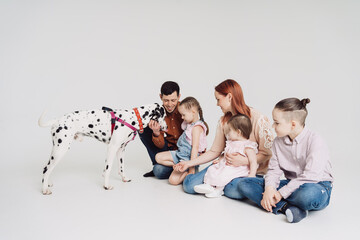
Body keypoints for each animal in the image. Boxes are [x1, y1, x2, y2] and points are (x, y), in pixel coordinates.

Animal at [37, 103, 167, 195]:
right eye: (165, 116)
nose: (166, 127)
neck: (133, 118)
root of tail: (57, 120)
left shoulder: (121, 149)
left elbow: (121, 168)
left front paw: (124, 179)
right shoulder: (112, 148)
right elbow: (108, 169)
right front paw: (106, 186)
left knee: (47, 169)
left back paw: (47, 184)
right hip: (61, 149)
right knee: (46, 169)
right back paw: (44, 190)